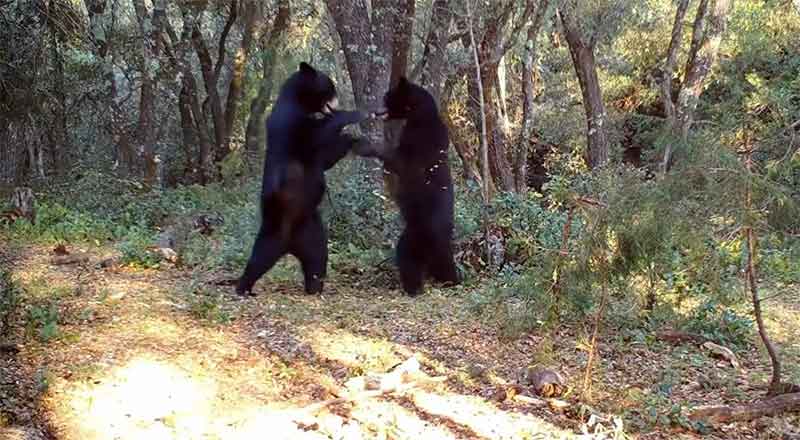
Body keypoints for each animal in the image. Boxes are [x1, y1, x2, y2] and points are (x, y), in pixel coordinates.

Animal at [237, 62, 365, 296]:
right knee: (259, 257)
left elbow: (325, 158)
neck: (298, 101)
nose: (337, 101)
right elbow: (316, 137)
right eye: (330, 87)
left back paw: (314, 286)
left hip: (312, 231)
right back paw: (243, 287)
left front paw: (351, 136)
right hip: (276, 225)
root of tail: (290, 244)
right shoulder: (291, 124)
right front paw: (353, 115)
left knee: (317, 258)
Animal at [355, 77, 460, 296]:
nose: (376, 111)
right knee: (413, 259)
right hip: (414, 234)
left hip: (426, 230)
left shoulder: (421, 141)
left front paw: (364, 144)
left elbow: (399, 159)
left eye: (387, 97)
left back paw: (435, 282)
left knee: (425, 257)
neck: (419, 116)